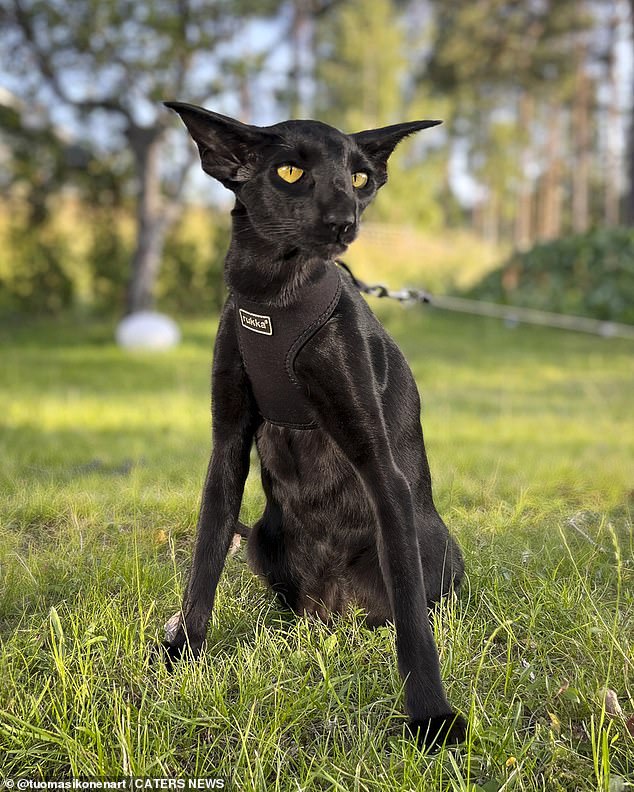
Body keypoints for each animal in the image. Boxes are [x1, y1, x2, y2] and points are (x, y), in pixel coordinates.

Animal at [158, 100, 464, 748]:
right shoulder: (227, 445)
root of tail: (331, 609)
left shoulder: (376, 460)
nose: (344, 223)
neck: (275, 296)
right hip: (263, 542)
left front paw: (430, 716)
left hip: (434, 546)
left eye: (359, 178)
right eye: (291, 173)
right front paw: (183, 652)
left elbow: (411, 617)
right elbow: (204, 558)